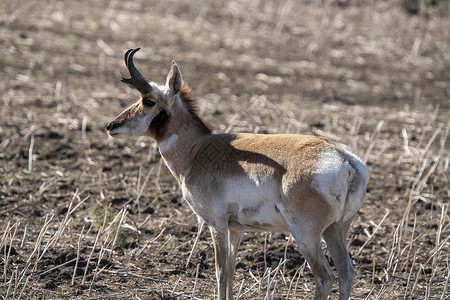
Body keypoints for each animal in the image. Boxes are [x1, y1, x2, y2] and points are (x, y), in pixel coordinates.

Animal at [106, 48, 370, 298]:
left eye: (148, 100)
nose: (111, 126)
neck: (197, 149)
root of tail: (345, 160)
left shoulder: (217, 225)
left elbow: (220, 271)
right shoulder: (236, 228)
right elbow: (231, 270)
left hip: (306, 236)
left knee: (325, 277)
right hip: (335, 230)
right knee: (346, 272)